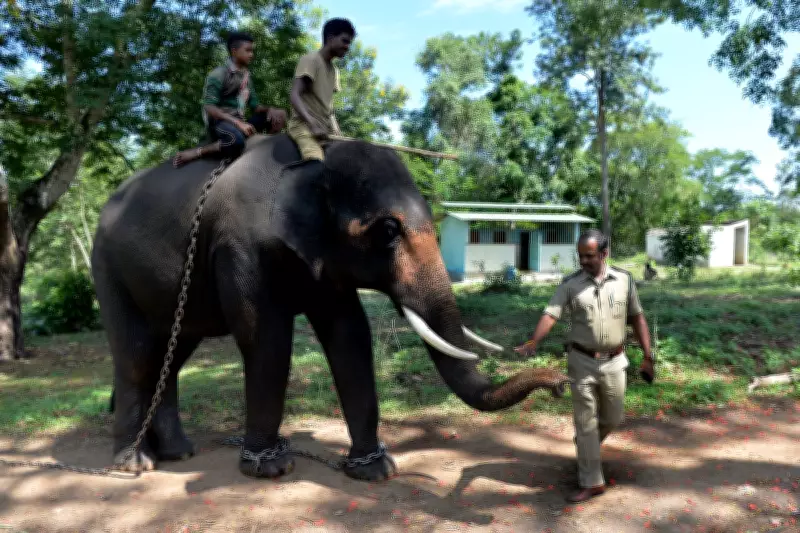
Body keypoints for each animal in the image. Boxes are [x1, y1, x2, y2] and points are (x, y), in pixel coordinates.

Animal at [91, 133, 571, 482]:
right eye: (388, 230)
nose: (560, 382)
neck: (313, 161)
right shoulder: (239, 247)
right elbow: (265, 338)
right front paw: (271, 467)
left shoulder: (324, 259)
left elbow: (350, 334)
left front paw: (376, 470)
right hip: (107, 268)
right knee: (136, 356)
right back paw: (134, 463)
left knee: (171, 356)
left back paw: (177, 453)